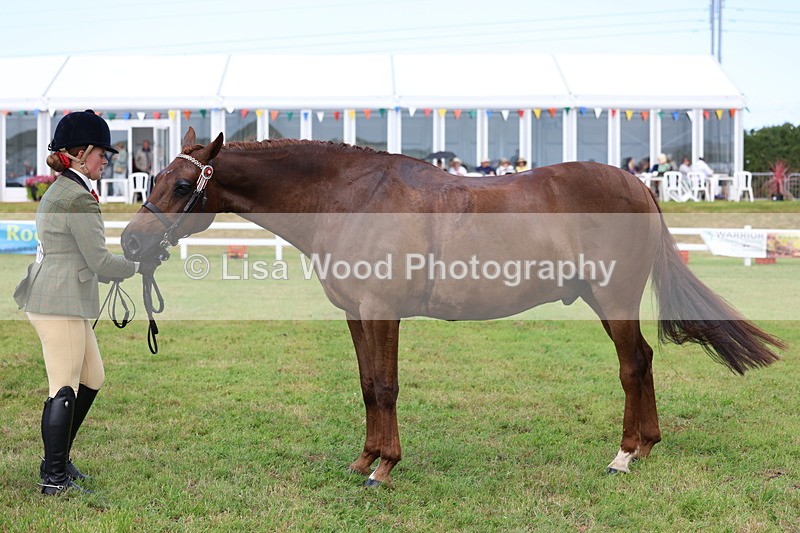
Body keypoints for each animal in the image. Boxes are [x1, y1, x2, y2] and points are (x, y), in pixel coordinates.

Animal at [120, 128, 785, 486]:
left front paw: (384, 467)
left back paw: (626, 453)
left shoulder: (382, 309)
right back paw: (644, 446)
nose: (129, 242)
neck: (352, 197)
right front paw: (363, 458)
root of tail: (638, 187)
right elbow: (367, 385)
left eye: (183, 185)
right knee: (641, 362)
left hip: (614, 299)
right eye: (152, 177)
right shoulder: (356, 314)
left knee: (634, 363)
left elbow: (385, 386)